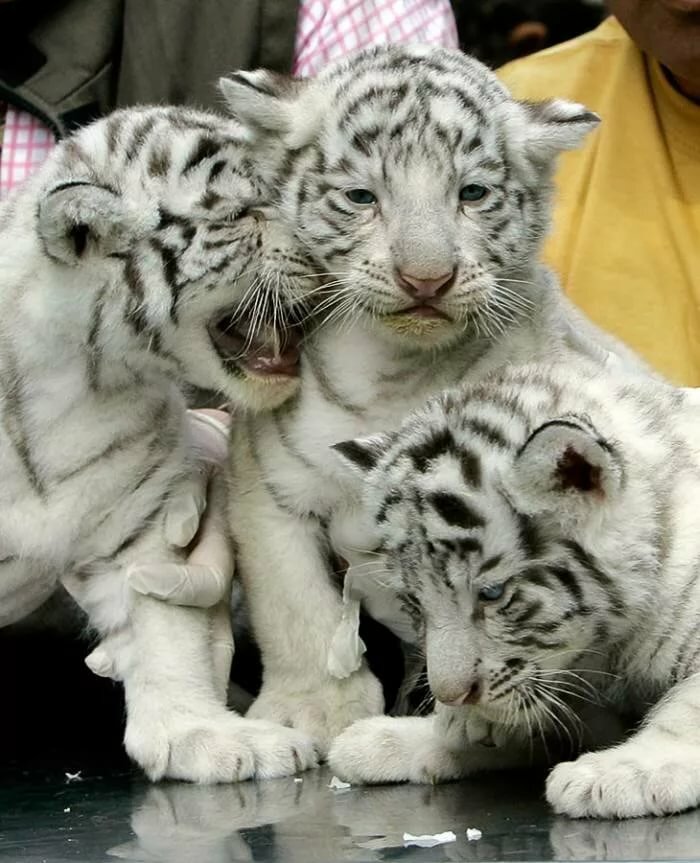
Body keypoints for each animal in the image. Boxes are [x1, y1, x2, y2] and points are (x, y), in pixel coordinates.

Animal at [216, 44, 651, 754]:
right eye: (361, 196)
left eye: (471, 194)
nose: (426, 279)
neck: (395, 372)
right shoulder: (267, 488)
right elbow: (294, 604)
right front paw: (313, 710)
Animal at [327, 358, 700, 820]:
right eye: (415, 603)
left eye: (491, 593)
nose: (452, 697)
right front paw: (400, 737)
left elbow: (688, 709)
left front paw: (621, 772)